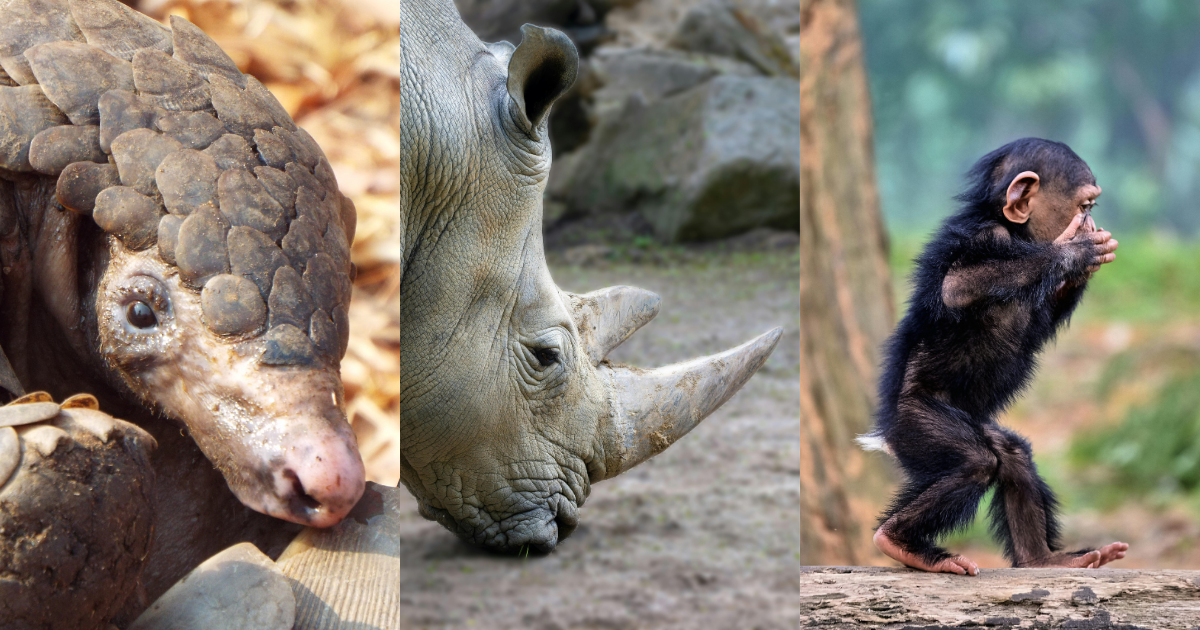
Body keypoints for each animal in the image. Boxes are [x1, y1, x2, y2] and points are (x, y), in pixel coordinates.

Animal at [859, 138, 1127, 575]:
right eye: (1086, 205)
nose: (1090, 221)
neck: (1018, 232)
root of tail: (884, 435)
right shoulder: (986, 238)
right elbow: (958, 284)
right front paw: (1075, 252)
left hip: (977, 424)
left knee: (1012, 456)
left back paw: (1042, 558)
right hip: (916, 424)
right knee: (975, 462)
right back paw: (900, 542)